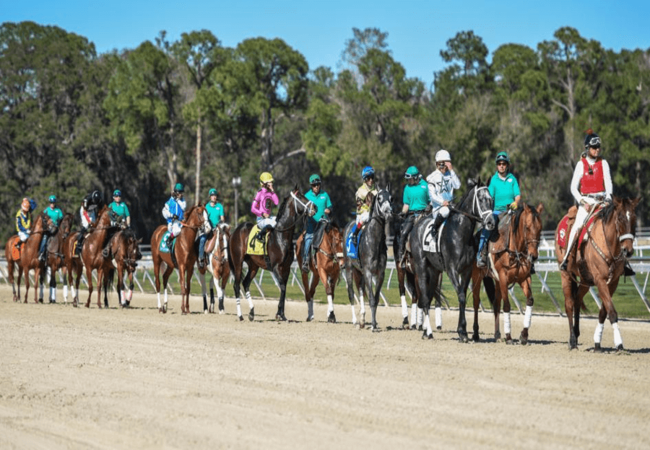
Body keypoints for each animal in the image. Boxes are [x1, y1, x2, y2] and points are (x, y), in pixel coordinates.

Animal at [228, 187, 317, 321]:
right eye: (301, 197)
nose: (315, 207)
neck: (282, 236)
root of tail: (236, 231)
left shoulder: (286, 268)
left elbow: (284, 289)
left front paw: (282, 314)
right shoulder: (276, 267)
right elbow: (283, 287)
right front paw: (279, 314)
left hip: (253, 265)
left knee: (245, 283)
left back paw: (252, 312)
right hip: (238, 262)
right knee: (236, 285)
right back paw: (240, 315)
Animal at [342, 185, 394, 331]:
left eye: (391, 198)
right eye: (380, 198)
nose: (389, 212)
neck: (374, 241)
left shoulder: (380, 273)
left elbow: (375, 299)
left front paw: (374, 323)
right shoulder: (369, 272)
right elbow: (370, 298)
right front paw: (373, 326)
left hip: (360, 271)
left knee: (360, 289)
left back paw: (362, 320)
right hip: (349, 267)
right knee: (351, 292)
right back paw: (355, 321)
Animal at [410, 178, 496, 341]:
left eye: (491, 200)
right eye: (481, 199)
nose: (490, 223)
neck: (460, 234)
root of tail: (417, 226)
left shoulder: (466, 271)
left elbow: (463, 296)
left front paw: (462, 331)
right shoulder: (451, 270)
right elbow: (461, 296)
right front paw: (462, 331)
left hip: (435, 271)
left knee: (429, 295)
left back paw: (425, 331)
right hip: (421, 267)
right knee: (424, 297)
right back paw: (428, 331)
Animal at [471, 202, 544, 344]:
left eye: (540, 229)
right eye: (527, 228)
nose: (533, 256)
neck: (515, 251)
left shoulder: (524, 278)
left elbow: (530, 300)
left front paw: (524, 335)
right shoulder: (504, 278)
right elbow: (507, 306)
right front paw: (509, 336)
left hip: (497, 281)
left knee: (496, 303)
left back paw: (497, 334)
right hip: (477, 277)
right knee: (476, 302)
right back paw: (476, 334)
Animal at [555, 196, 640, 351]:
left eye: (634, 219)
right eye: (619, 218)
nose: (628, 250)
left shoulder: (613, 282)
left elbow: (604, 311)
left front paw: (597, 341)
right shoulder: (600, 280)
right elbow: (611, 311)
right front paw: (619, 343)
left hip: (585, 281)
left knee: (577, 300)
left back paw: (576, 334)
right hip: (566, 275)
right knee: (569, 304)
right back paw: (572, 340)